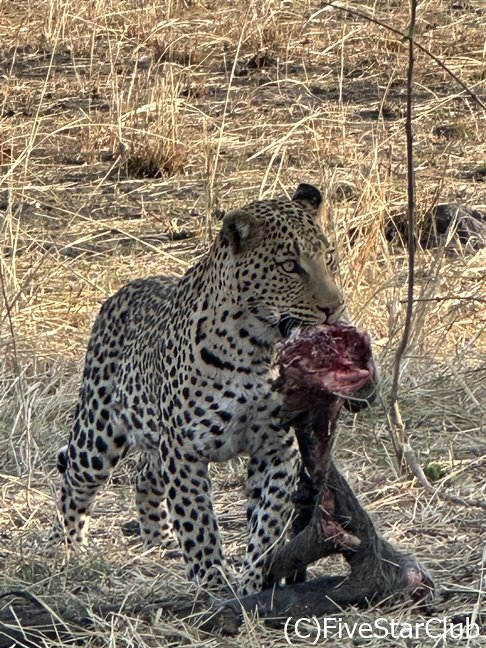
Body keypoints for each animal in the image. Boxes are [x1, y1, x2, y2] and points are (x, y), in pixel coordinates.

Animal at [51, 182, 344, 596]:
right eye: (290, 266)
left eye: (329, 258)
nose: (335, 307)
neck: (256, 346)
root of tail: (125, 288)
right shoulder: (185, 450)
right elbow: (198, 521)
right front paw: (213, 582)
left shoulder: (276, 447)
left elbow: (269, 519)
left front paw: (253, 579)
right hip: (98, 433)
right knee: (74, 480)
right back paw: (69, 548)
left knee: (145, 474)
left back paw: (159, 541)